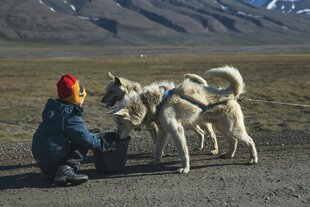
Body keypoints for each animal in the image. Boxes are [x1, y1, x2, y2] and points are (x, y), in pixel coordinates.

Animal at [108, 66, 258, 173]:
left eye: (120, 123)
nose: (115, 137)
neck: (150, 102)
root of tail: (228, 92)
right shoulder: (163, 131)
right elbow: (158, 149)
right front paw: (155, 162)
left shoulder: (176, 130)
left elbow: (183, 152)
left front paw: (185, 168)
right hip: (222, 127)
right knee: (233, 141)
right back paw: (228, 155)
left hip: (233, 128)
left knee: (249, 140)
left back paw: (253, 159)